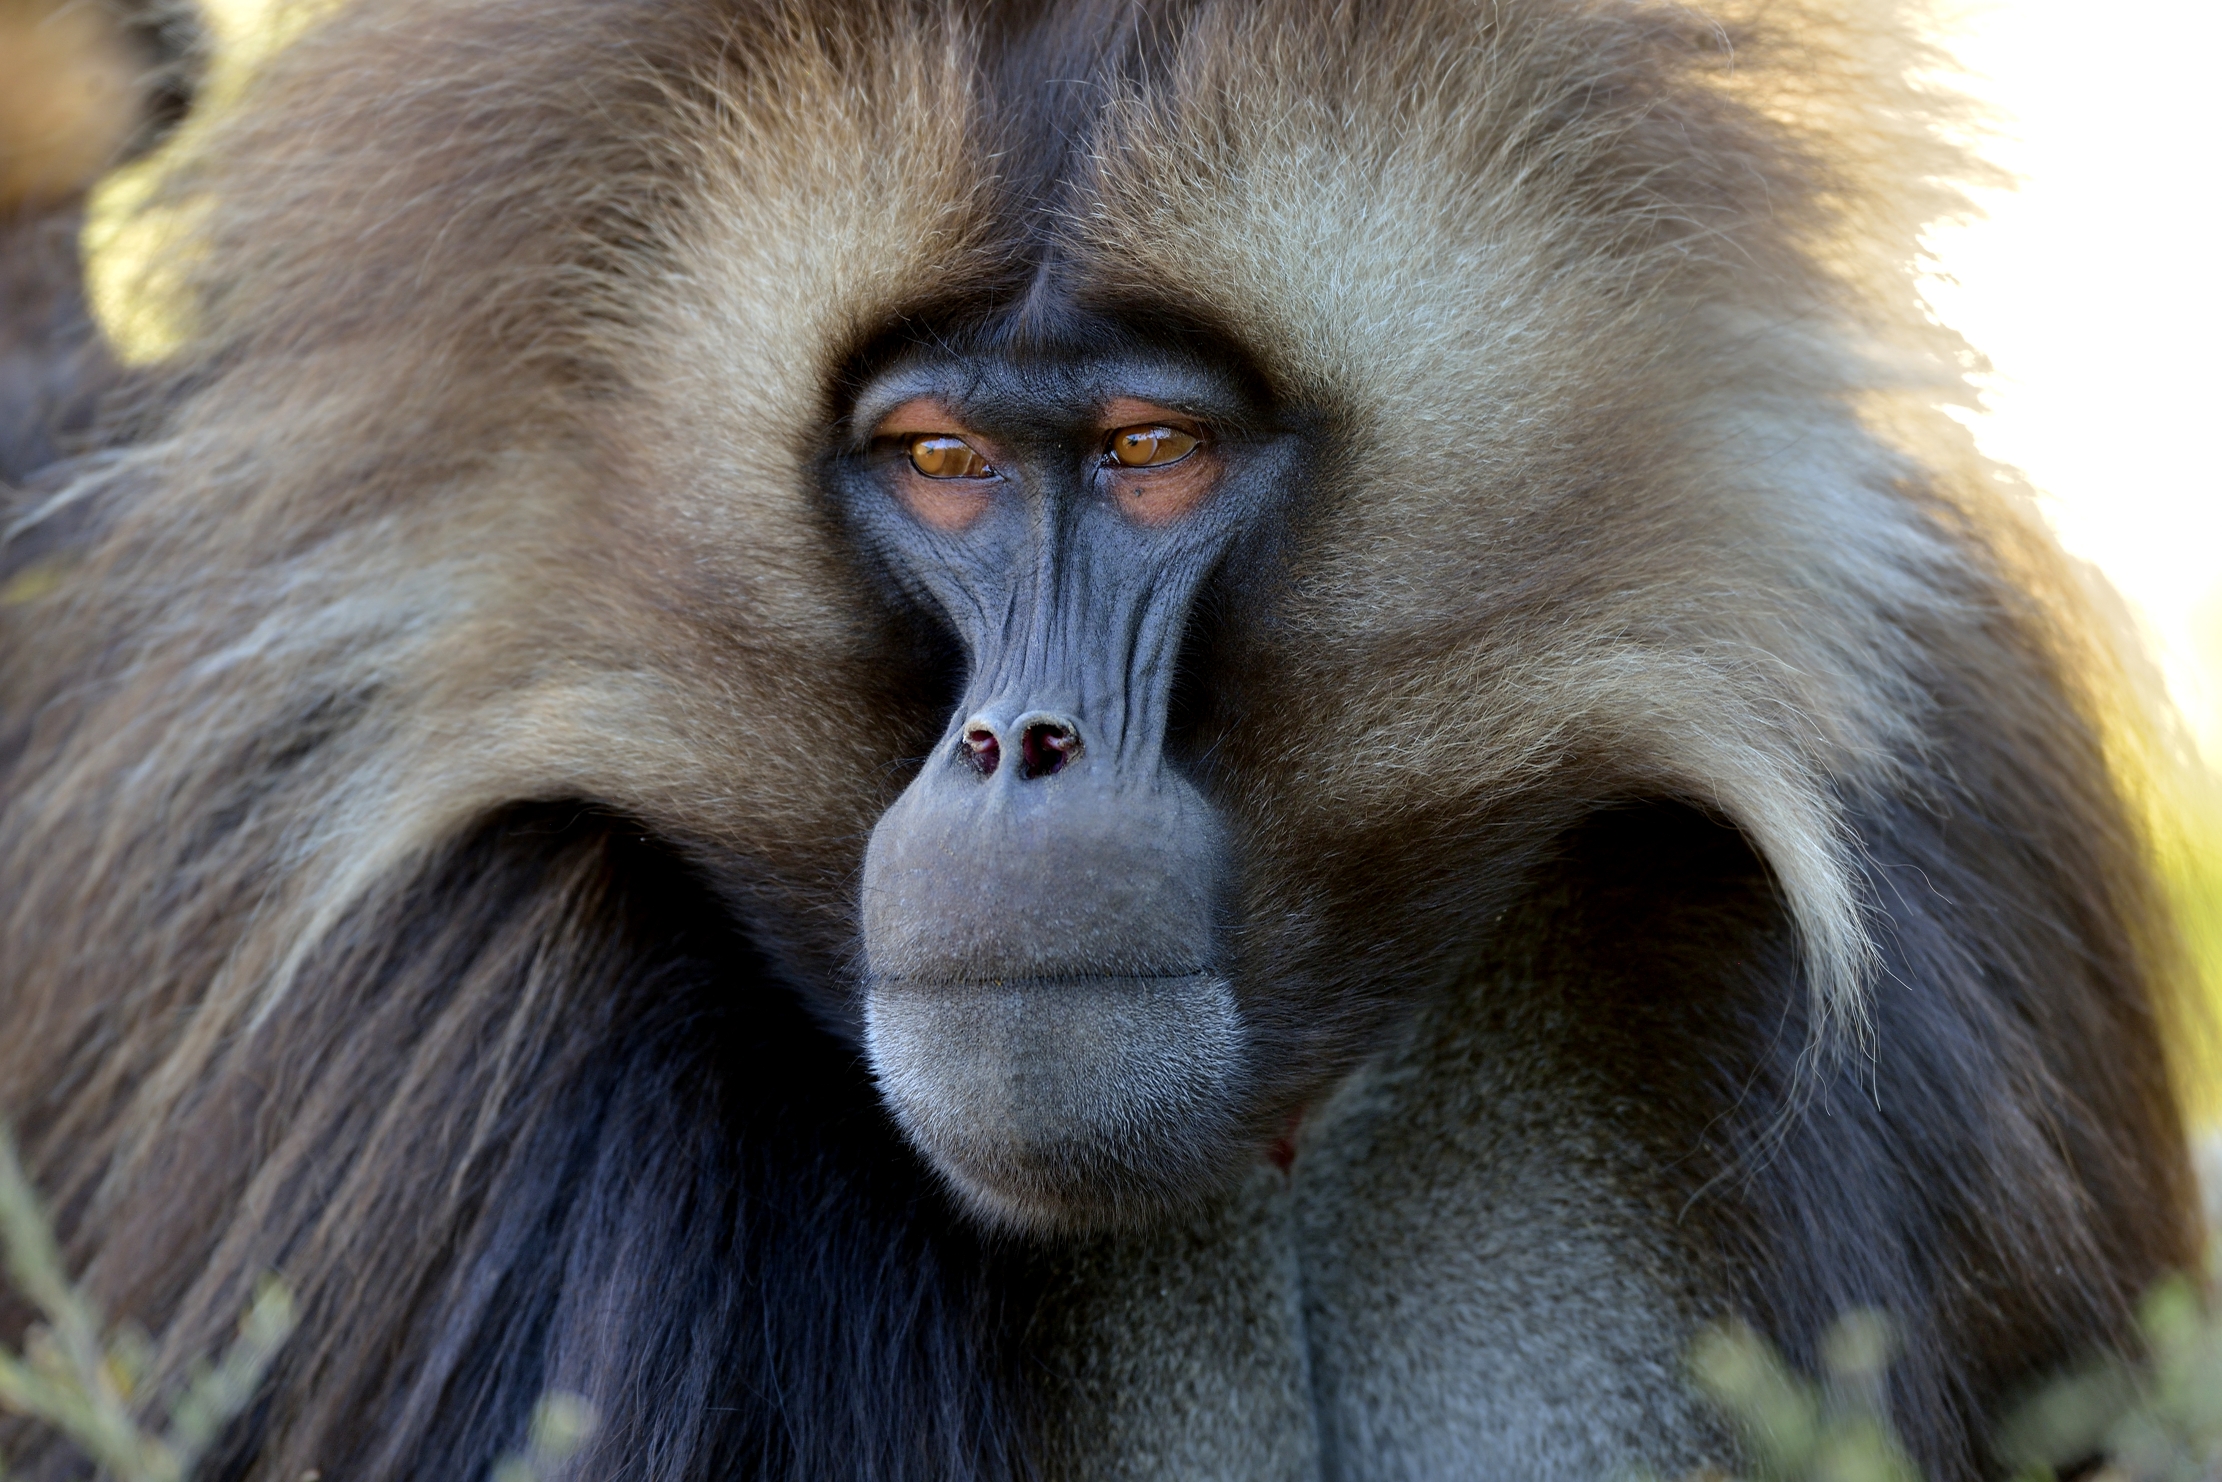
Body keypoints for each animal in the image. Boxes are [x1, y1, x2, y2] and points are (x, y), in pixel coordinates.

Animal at [0, 0, 2197, 1477]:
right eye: (938, 460)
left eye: (1150, 454)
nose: (1019, 751)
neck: (1279, 1138)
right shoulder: (462, 996)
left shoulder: (1949, 810)